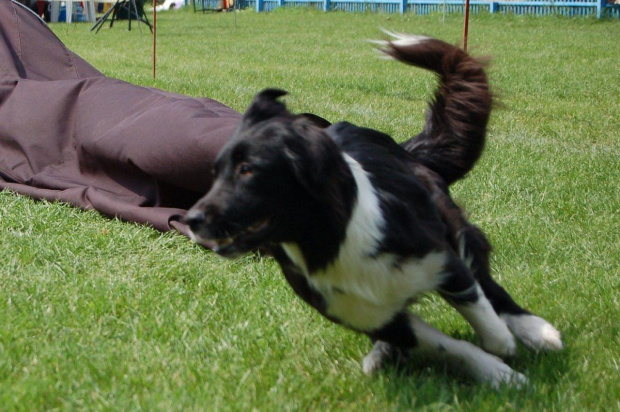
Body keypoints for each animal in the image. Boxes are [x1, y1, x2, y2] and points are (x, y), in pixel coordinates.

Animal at [183, 33, 560, 388]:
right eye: (215, 173)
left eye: (248, 170)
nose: (192, 220)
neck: (330, 241)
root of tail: (405, 148)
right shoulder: (370, 315)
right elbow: (445, 344)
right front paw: (497, 373)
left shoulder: (441, 257)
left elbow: (480, 312)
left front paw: (506, 353)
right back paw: (383, 355)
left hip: (451, 223)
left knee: (487, 282)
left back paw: (536, 330)